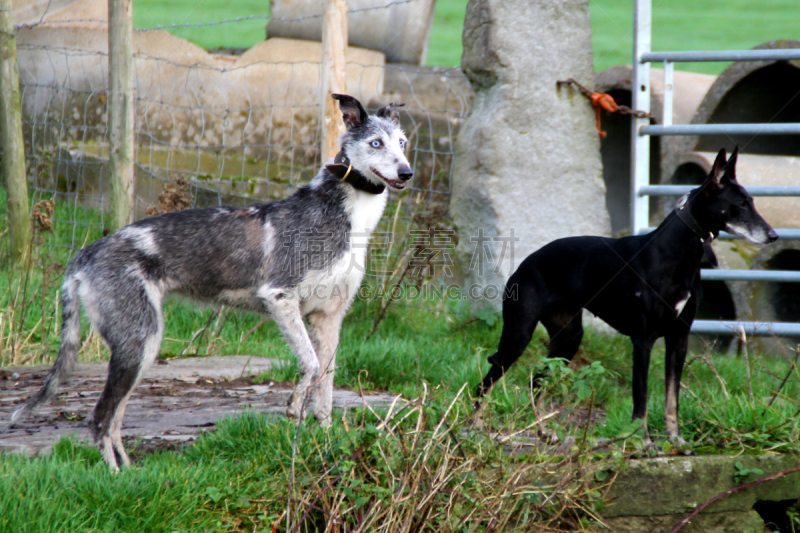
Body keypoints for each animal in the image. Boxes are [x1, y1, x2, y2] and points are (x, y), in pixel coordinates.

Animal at [9, 93, 412, 468]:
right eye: (376, 143)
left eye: (403, 142)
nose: (407, 172)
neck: (345, 214)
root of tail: (86, 253)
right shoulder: (280, 297)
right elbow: (311, 368)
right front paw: (294, 406)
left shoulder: (328, 318)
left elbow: (325, 389)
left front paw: (326, 451)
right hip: (138, 343)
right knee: (98, 420)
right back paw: (116, 479)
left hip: (140, 349)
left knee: (114, 421)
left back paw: (132, 475)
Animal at [476, 148, 776, 446]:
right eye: (740, 204)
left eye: (752, 201)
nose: (773, 235)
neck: (674, 253)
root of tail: (524, 264)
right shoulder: (642, 340)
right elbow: (640, 398)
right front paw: (643, 442)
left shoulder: (679, 339)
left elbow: (672, 398)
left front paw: (676, 440)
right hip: (518, 336)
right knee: (486, 383)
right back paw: (476, 427)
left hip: (567, 340)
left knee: (536, 382)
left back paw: (541, 432)